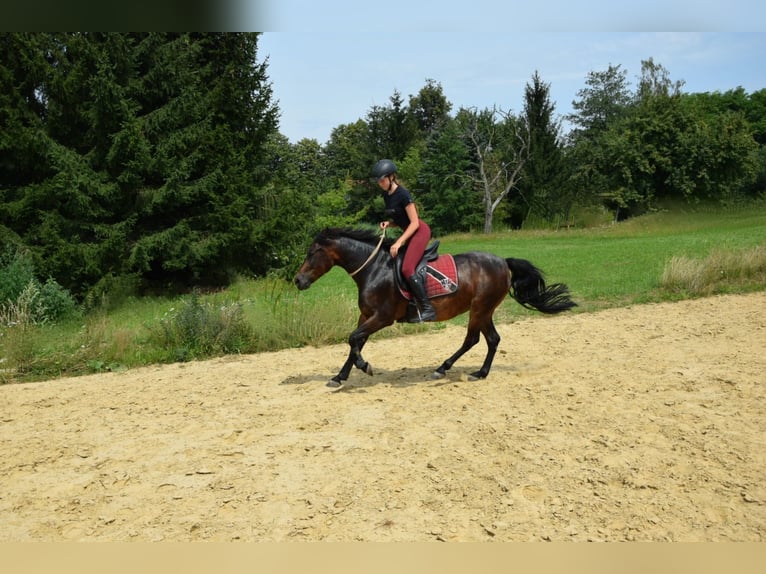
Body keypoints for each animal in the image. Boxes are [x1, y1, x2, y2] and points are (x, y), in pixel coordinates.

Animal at [294, 227, 576, 390]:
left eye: (312, 252)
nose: (298, 280)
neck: (374, 269)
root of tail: (503, 263)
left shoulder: (382, 317)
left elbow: (354, 340)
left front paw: (365, 367)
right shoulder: (366, 315)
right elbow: (355, 343)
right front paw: (339, 376)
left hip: (479, 308)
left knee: (473, 339)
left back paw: (443, 369)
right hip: (484, 310)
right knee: (492, 339)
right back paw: (480, 373)